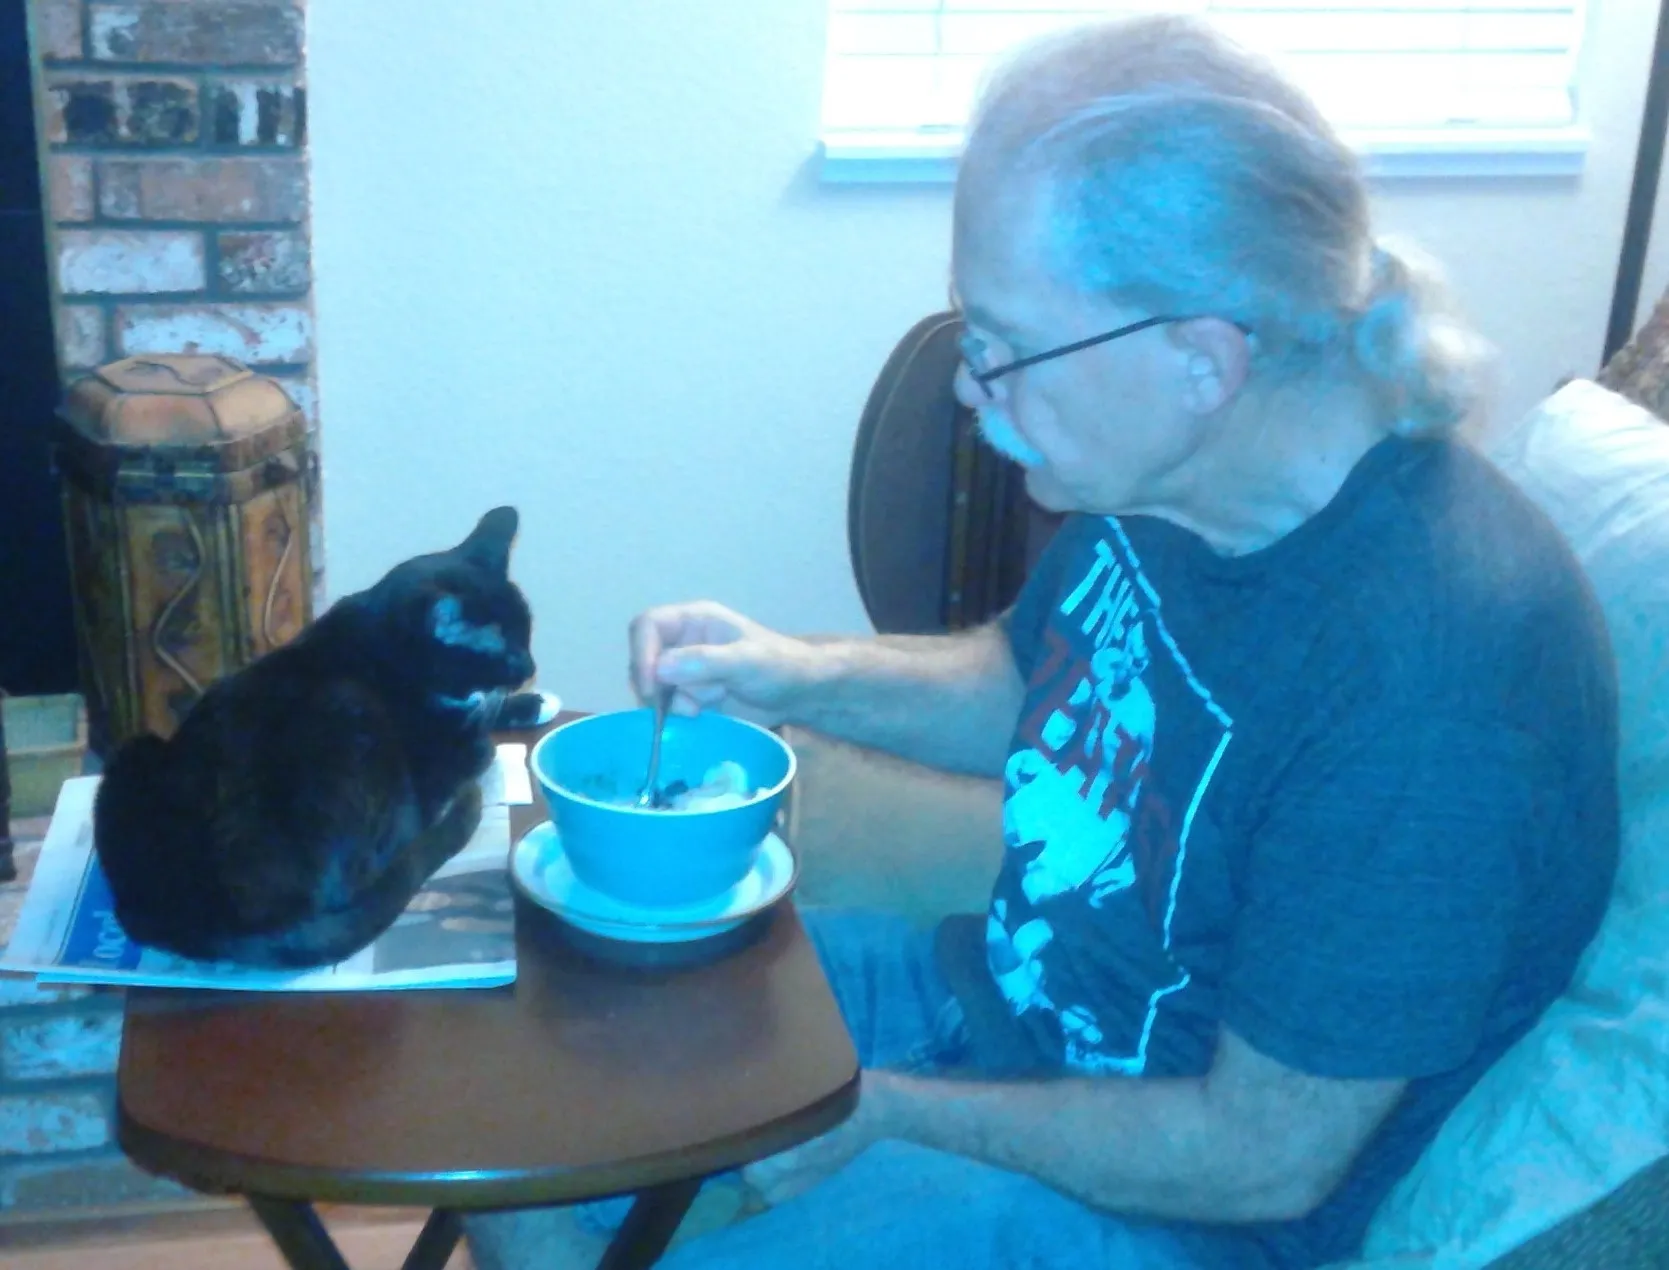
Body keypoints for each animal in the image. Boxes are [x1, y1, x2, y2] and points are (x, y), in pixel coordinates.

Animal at [93, 500, 540, 967]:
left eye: (527, 634)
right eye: (507, 651)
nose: (531, 667)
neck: (389, 648)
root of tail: (205, 921)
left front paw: (530, 702)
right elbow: (479, 732)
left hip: (132, 756)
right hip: (352, 714)